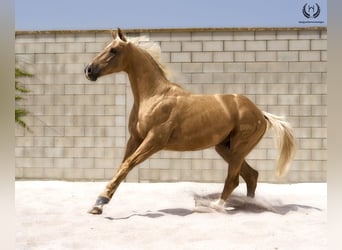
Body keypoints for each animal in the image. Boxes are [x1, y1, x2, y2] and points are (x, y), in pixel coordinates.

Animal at [84, 28, 296, 214]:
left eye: (113, 50)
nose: (89, 70)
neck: (155, 95)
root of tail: (261, 114)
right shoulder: (135, 138)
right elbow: (122, 167)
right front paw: (98, 205)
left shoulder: (154, 141)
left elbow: (127, 165)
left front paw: (100, 202)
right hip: (224, 147)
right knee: (251, 176)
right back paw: (247, 205)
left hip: (239, 148)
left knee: (234, 179)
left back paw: (215, 206)